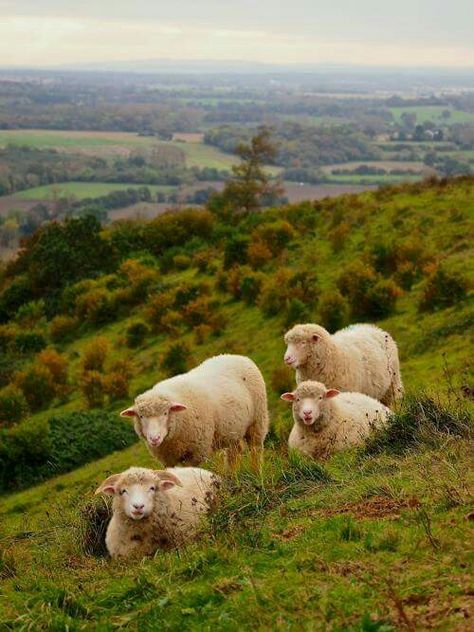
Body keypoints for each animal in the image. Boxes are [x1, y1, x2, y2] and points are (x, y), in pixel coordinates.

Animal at [121, 356, 270, 470]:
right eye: (141, 416)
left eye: (165, 413)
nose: (154, 438)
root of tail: (237, 356)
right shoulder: (168, 460)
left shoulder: (196, 453)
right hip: (232, 430)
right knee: (234, 453)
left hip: (258, 419)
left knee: (256, 449)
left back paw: (257, 471)